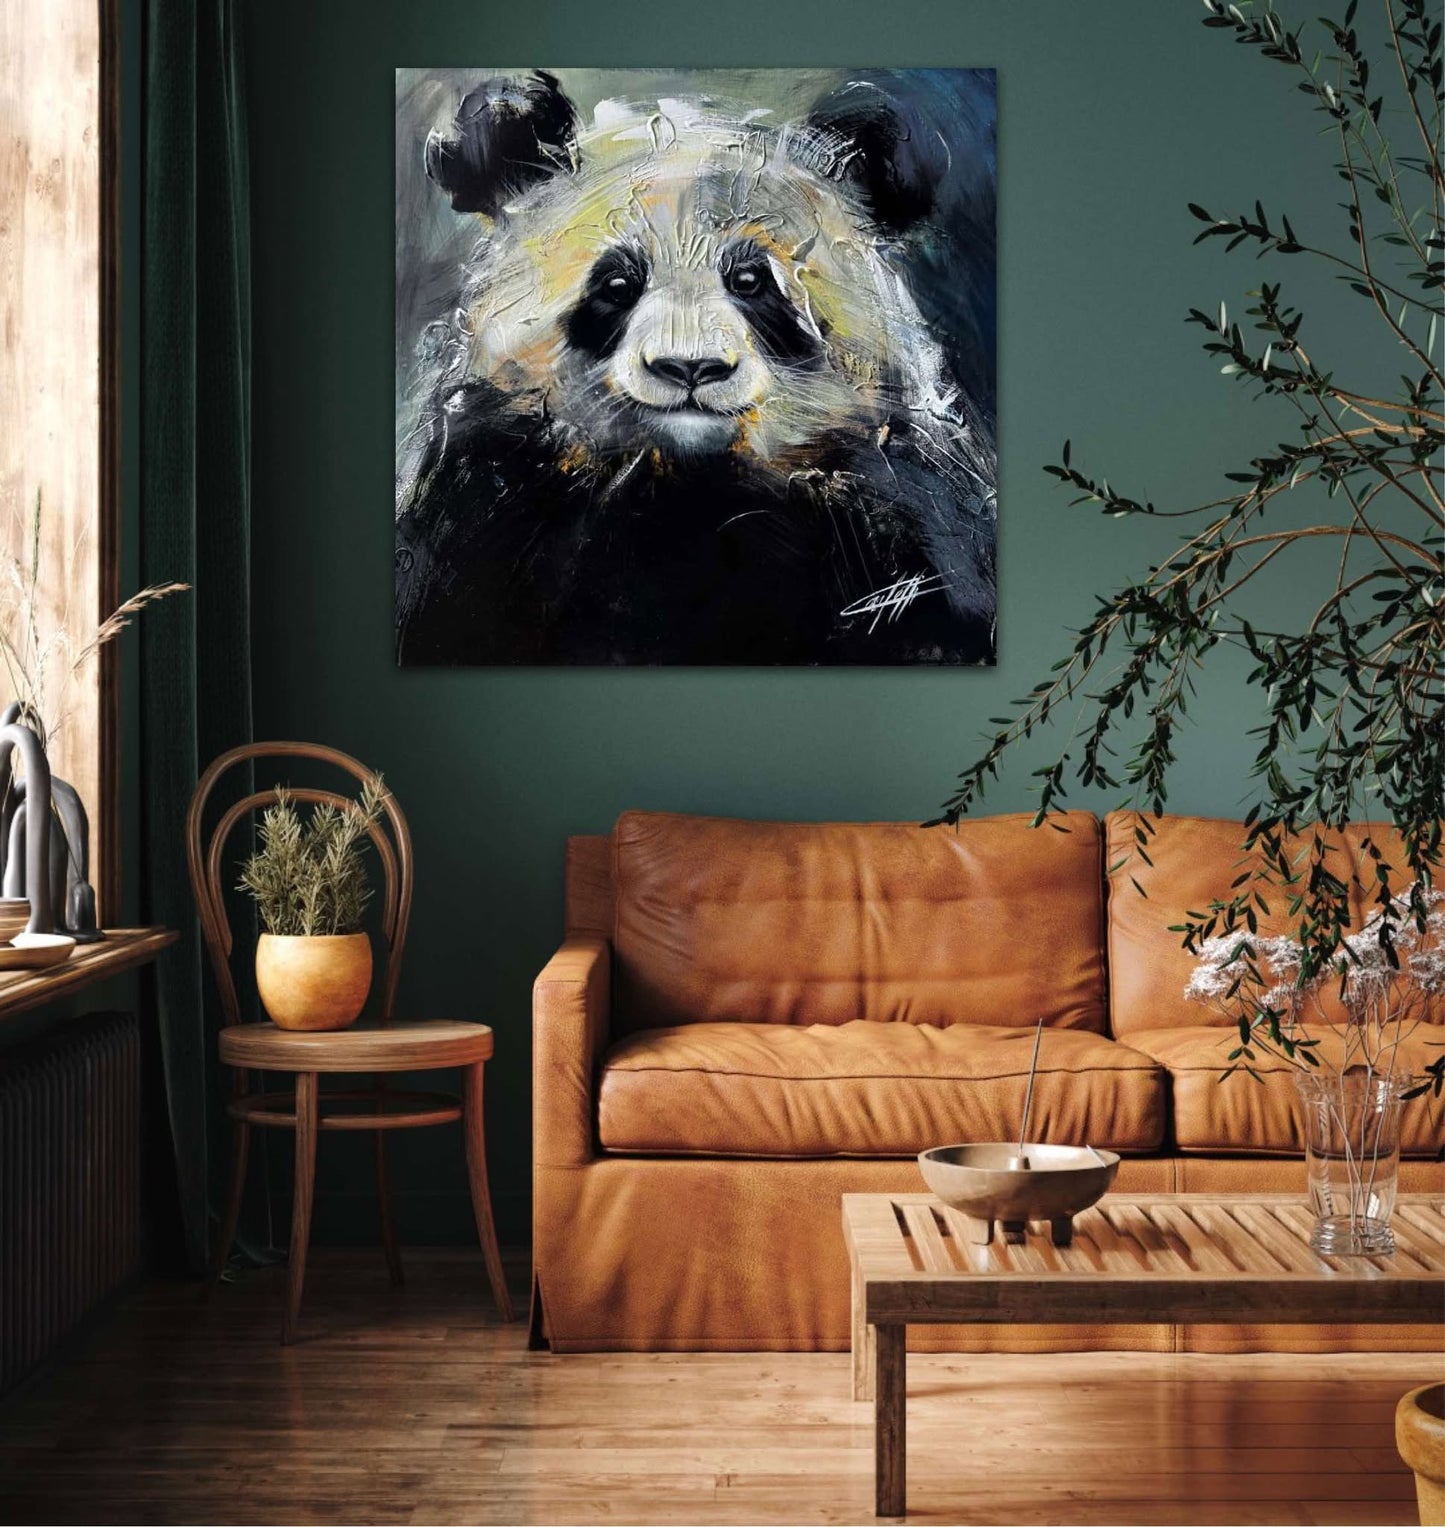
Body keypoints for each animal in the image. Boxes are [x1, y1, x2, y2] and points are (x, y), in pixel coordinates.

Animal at [395, 70, 996, 666]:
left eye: (750, 280)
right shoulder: (490, 499)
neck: (685, 476)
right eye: (618, 283)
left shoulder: (896, 508)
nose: (689, 368)